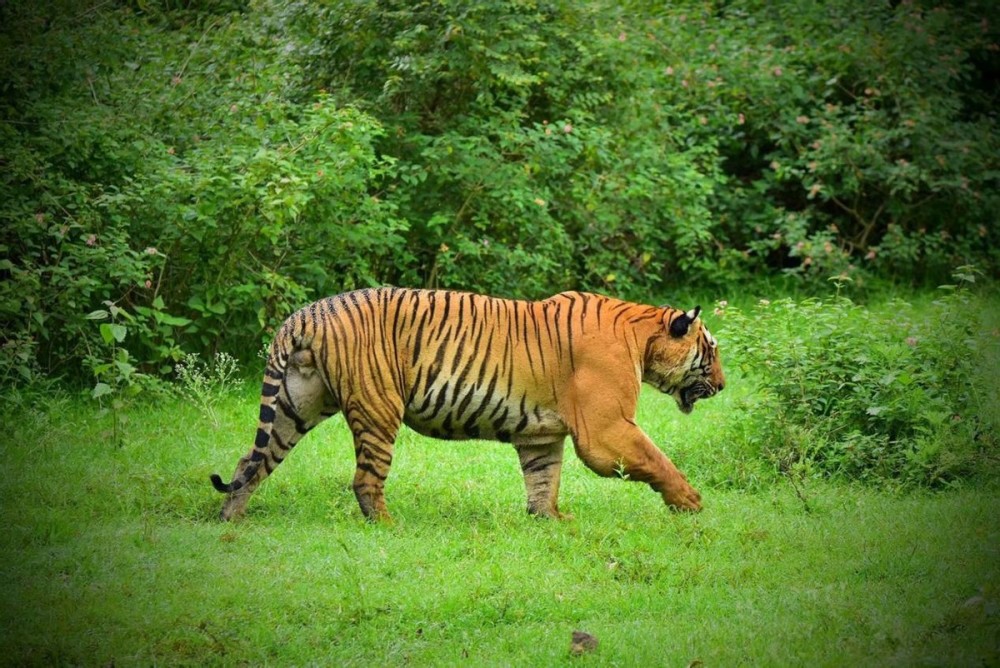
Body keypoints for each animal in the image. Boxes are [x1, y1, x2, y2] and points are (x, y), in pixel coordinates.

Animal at [211, 288, 728, 520]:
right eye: (712, 350)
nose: (723, 386)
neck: (642, 337)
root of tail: (308, 312)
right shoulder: (605, 430)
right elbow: (656, 459)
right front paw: (691, 502)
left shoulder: (542, 437)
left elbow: (544, 482)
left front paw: (551, 521)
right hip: (377, 409)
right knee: (365, 480)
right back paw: (389, 527)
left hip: (296, 405)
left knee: (249, 462)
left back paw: (230, 521)